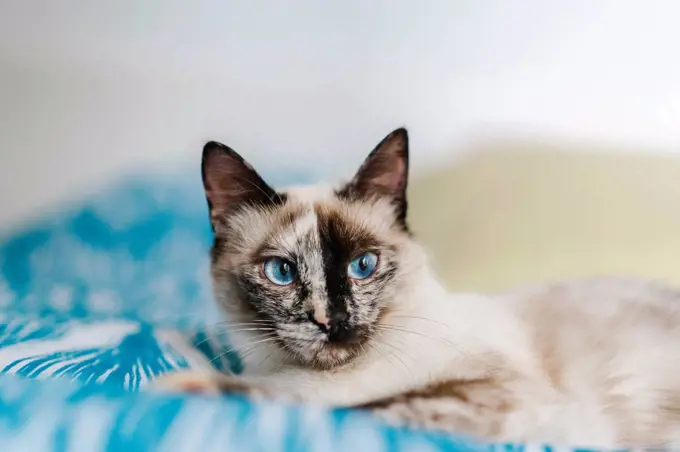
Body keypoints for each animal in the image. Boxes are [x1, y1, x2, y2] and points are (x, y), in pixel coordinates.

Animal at [155, 128, 680, 448]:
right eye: (282, 272)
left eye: (363, 265)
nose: (331, 321)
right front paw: (175, 348)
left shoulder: (498, 397)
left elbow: (357, 407)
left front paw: (182, 385)